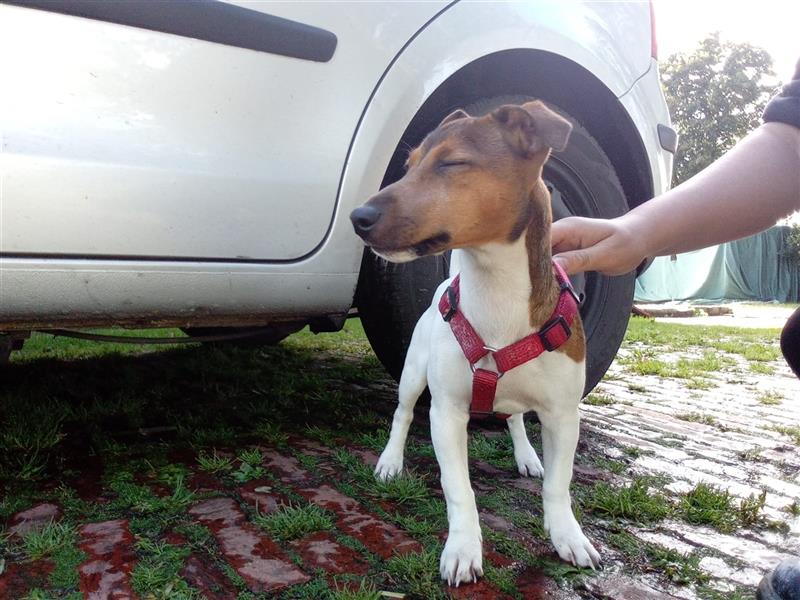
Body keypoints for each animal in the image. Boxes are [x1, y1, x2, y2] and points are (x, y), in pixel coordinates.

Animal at [350, 101, 600, 584]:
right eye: (408, 167)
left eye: (451, 163)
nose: (358, 217)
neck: (493, 286)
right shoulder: (447, 412)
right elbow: (458, 488)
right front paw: (463, 548)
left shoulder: (562, 415)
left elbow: (558, 485)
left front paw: (567, 534)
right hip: (413, 374)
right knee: (402, 414)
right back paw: (390, 461)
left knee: (516, 418)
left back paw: (526, 455)